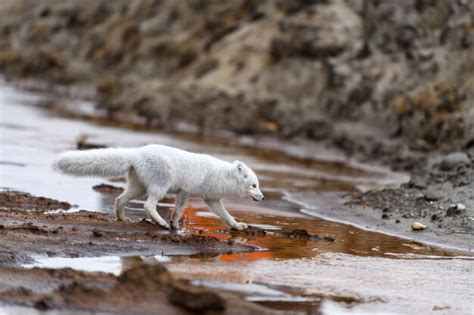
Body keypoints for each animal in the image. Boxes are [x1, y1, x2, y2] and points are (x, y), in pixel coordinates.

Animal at [54, 144, 266, 231]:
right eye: (254, 185)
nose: (263, 197)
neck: (221, 175)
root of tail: (136, 153)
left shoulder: (210, 199)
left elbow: (225, 215)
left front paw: (238, 226)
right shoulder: (186, 191)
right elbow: (179, 210)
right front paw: (173, 224)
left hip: (137, 188)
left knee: (119, 199)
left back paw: (123, 219)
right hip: (160, 187)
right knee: (148, 205)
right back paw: (161, 223)